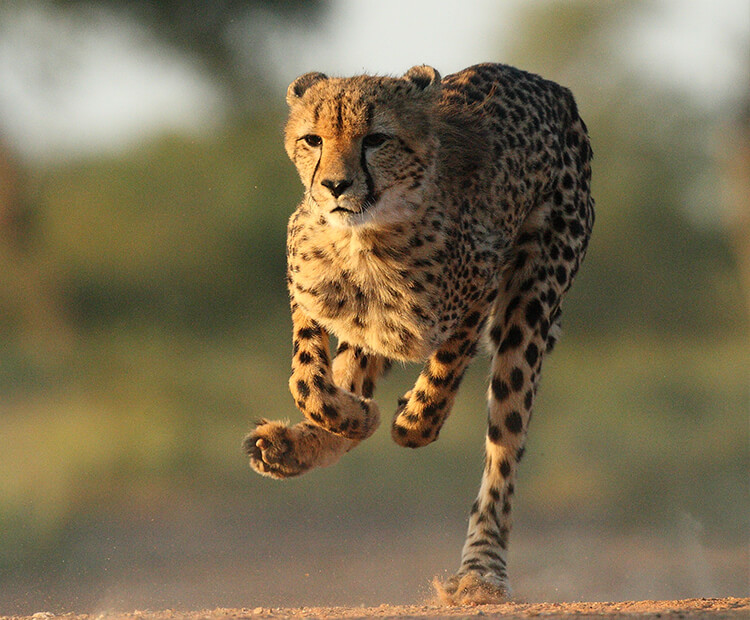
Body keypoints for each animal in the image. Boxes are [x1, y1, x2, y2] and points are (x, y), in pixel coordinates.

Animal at [244, 63, 596, 604]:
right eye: (312, 139)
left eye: (376, 139)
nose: (335, 186)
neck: (365, 239)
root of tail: (549, 86)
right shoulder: (306, 288)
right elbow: (309, 382)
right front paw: (351, 417)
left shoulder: (479, 291)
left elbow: (437, 385)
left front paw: (407, 417)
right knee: (353, 369)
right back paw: (294, 444)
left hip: (532, 302)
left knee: (504, 445)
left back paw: (480, 574)